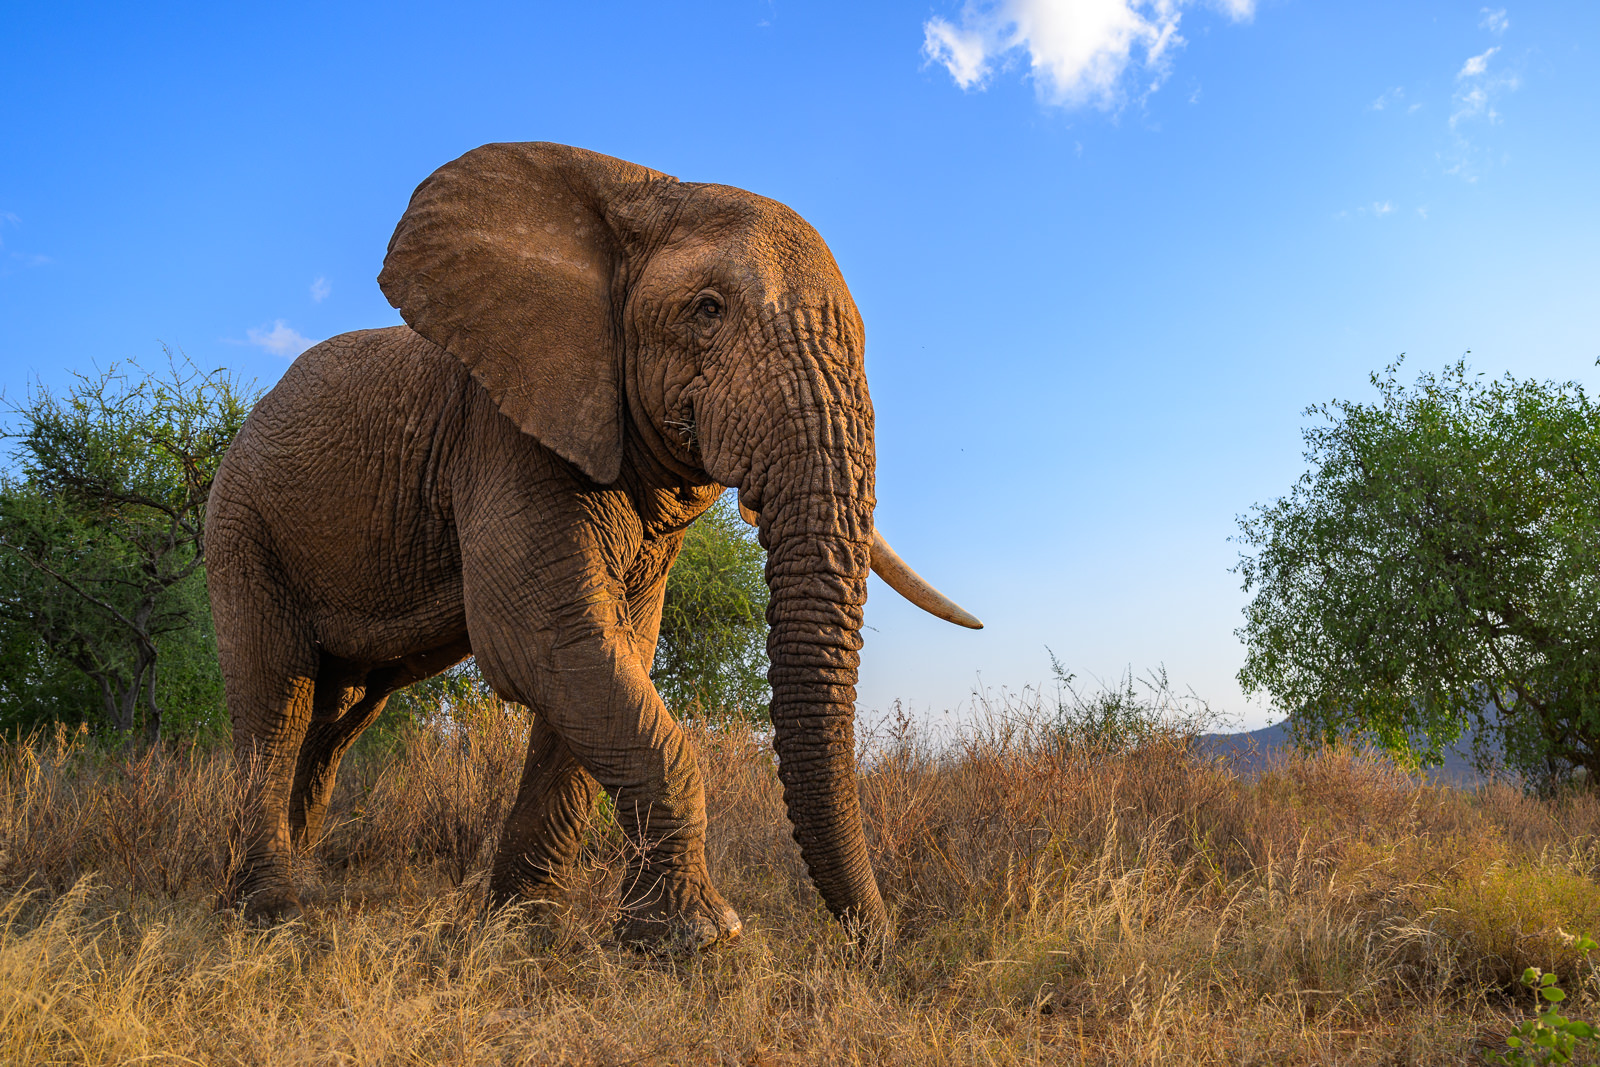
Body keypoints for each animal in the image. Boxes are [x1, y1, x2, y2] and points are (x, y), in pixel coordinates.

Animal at [207, 141, 981, 951]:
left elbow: (610, 651)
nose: (879, 942)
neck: (639, 193)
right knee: (276, 699)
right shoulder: (505, 432)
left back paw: (303, 874)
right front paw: (696, 938)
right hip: (242, 526)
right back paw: (267, 909)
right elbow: (542, 640)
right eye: (708, 310)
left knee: (334, 718)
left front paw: (526, 923)